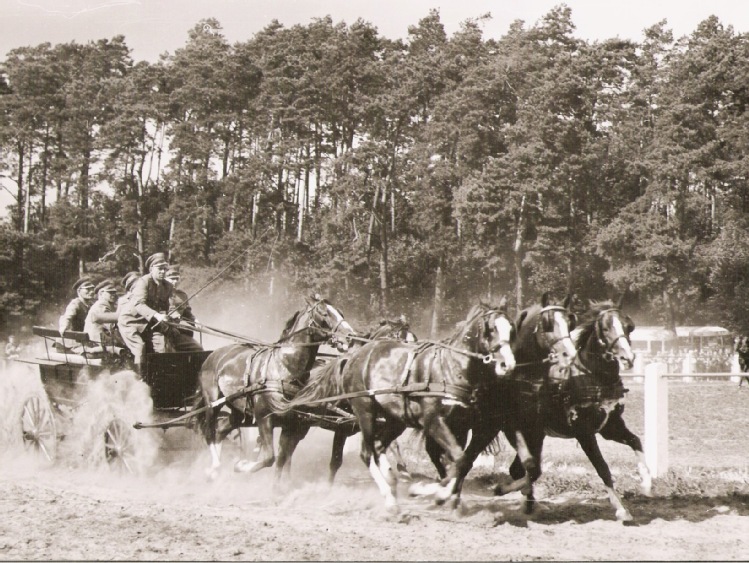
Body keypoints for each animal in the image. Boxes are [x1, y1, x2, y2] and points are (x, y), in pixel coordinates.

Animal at [193, 296, 356, 484]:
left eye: (341, 313)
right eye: (324, 313)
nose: (351, 336)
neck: (283, 368)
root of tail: (216, 353)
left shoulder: (291, 422)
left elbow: (281, 457)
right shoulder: (264, 417)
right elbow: (269, 457)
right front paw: (242, 465)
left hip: (239, 410)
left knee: (221, 429)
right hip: (212, 403)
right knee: (210, 432)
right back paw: (214, 467)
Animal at [334, 304, 516, 516]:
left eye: (511, 329)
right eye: (491, 329)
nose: (507, 364)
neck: (451, 368)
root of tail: (355, 356)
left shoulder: (461, 426)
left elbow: (458, 462)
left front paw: (451, 498)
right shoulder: (433, 421)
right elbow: (458, 460)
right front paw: (434, 492)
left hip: (396, 419)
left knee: (379, 446)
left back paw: (393, 481)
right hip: (365, 411)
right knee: (367, 453)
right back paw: (390, 499)